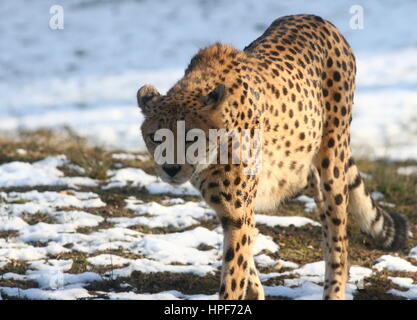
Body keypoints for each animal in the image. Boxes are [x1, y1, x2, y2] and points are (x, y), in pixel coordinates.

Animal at [136, 14, 406, 300]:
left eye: (191, 137)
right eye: (156, 137)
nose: (171, 169)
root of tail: (314, 17)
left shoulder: (238, 211)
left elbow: (234, 272)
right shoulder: (232, 211)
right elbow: (243, 255)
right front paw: (254, 289)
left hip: (332, 159)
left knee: (338, 240)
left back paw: (334, 289)